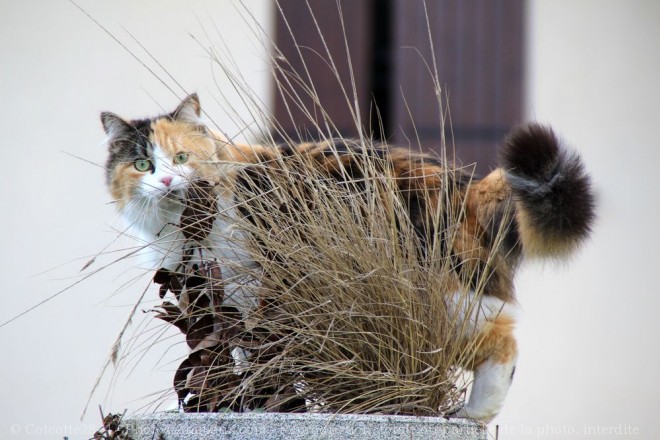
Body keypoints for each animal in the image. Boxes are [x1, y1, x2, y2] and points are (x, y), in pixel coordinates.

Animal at [100, 95, 596, 422]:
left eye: (182, 157)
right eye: (143, 165)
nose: (167, 181)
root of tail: (466, 184)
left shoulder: (255, 286)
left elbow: (260, 356)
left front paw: (263, 401)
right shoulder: (221, 300)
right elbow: (238, 354)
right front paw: (239, 402)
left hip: (443, 299)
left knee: (502, 343)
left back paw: (470, 415)